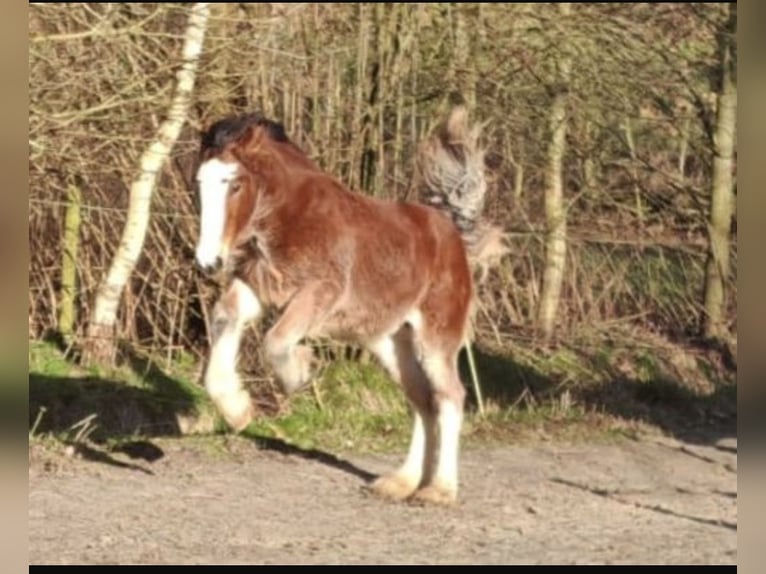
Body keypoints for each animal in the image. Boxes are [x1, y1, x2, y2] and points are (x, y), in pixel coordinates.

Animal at [194, 106, 504, 506]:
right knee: (421, 400)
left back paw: (438, 490)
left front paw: (300, 371)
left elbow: (275, 340)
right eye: (199, 182)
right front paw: (237, 410)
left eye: (234, 184)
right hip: (391, 342)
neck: (290, 217)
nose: (209, 262)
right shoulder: (257, 286)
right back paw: (401, 482)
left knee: (449, 396)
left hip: (435, 337)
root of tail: (453, 234)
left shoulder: (321, 292)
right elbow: (226, 317)